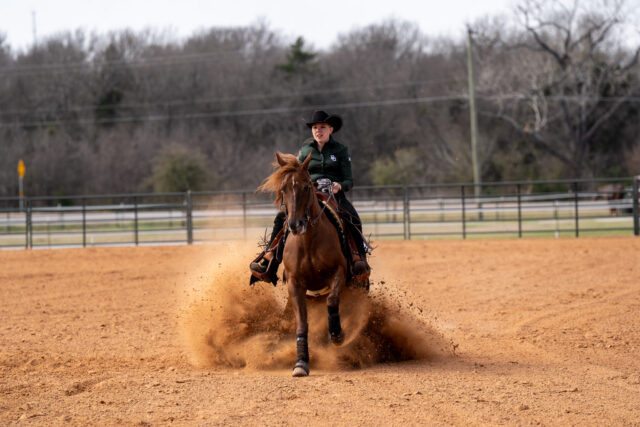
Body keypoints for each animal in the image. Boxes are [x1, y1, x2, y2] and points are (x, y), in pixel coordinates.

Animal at [258, 152, 348, 377]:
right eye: (283, 189)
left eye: (306, 187)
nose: (295, 224)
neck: (309, 241)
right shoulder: (294, 283)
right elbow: (302, 324)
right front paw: (300, 362)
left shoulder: (339, 272)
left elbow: (332, 301)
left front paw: (336, 334)